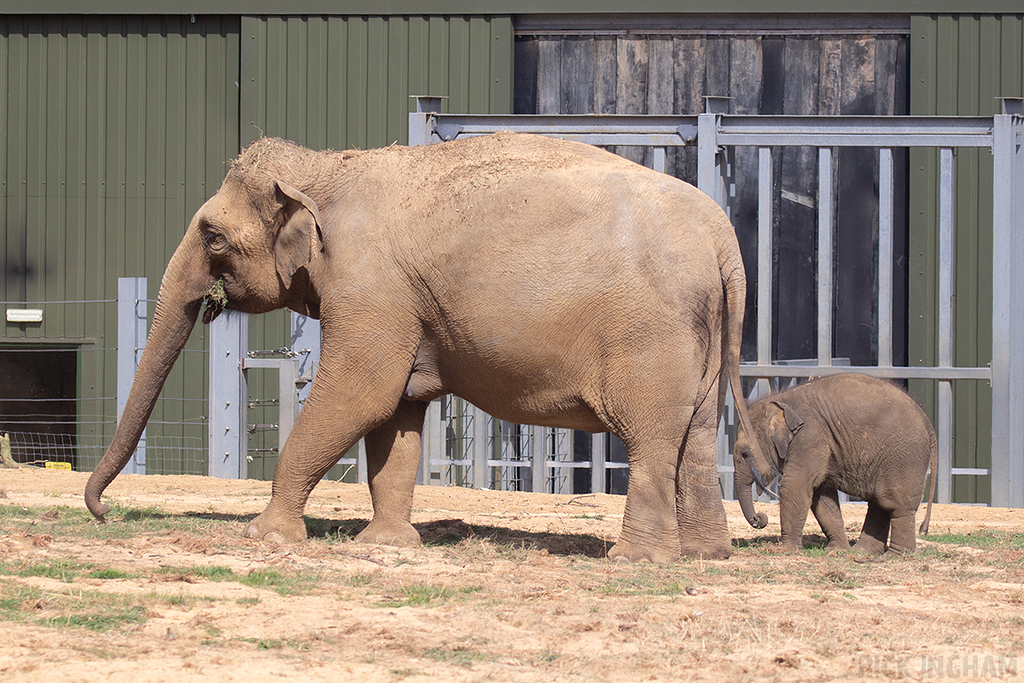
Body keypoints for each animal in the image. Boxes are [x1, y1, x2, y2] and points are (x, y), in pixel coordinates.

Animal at [85, 132, 771, 563]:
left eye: (212, 236)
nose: (101, 513)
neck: (327, 167)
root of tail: (724, 241)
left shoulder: (371, 289)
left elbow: (360, 393)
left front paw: (267, 537)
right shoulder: (399, 304)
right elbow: (396, 418)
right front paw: (385, 547)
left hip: (650, 335)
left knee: (651, 435)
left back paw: (636, 559)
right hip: (700, 339)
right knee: (692, 434)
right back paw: (705, 555)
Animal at [733, 373, 937, 555]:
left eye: (745, 454)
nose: (759, 518)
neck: (780, 400)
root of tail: (928, 423)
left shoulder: (810, 436)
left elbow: (795, 486)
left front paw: (787, 551)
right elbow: (821, 495)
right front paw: (837, 551)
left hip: (904, 457)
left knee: (896, 504)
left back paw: (895, 555)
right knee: (879, 503)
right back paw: (862, 553)